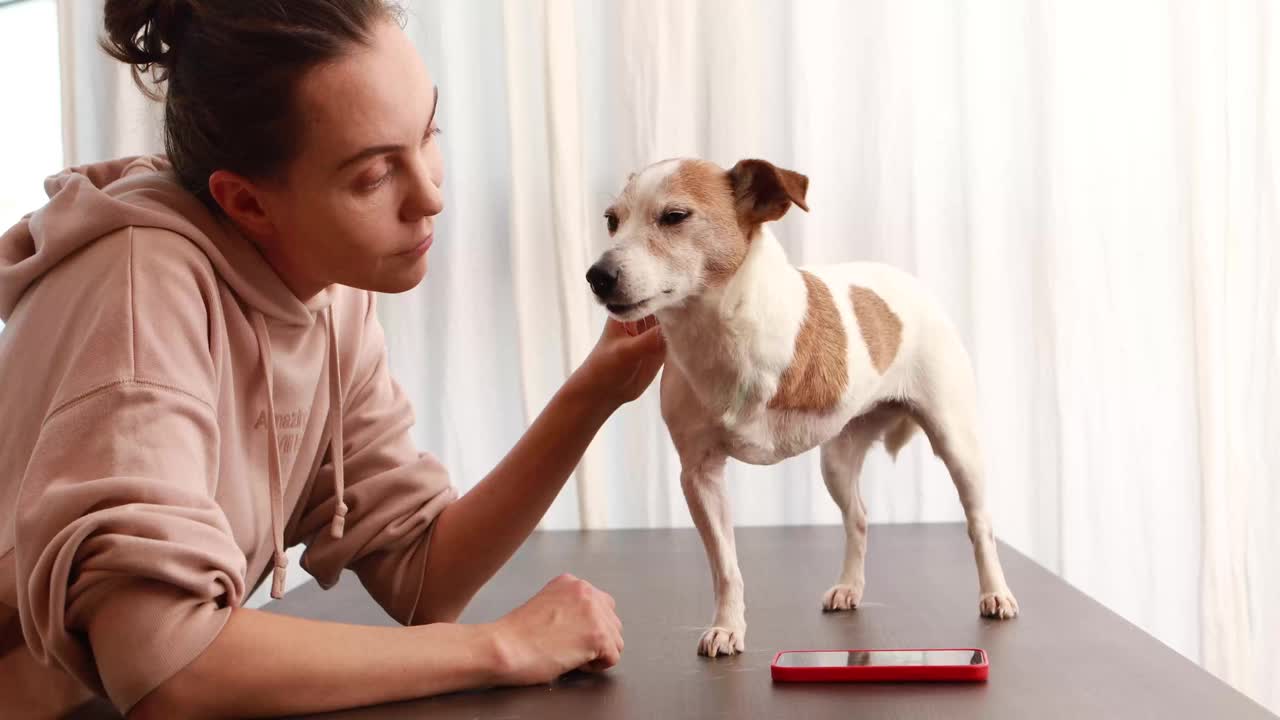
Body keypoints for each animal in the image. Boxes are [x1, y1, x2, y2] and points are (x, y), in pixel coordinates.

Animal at [586, 156, 1013, 655]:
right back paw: (849, 587)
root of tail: (910, 284)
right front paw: (728, 626)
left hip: (956, 443)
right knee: (858, 520)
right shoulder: (700, 475)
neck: (708, 331)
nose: (597, 276)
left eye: (674, 216)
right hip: (837, 462)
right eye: (611, 221)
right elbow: (725, 568)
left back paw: (996, 593)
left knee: (979, 523)